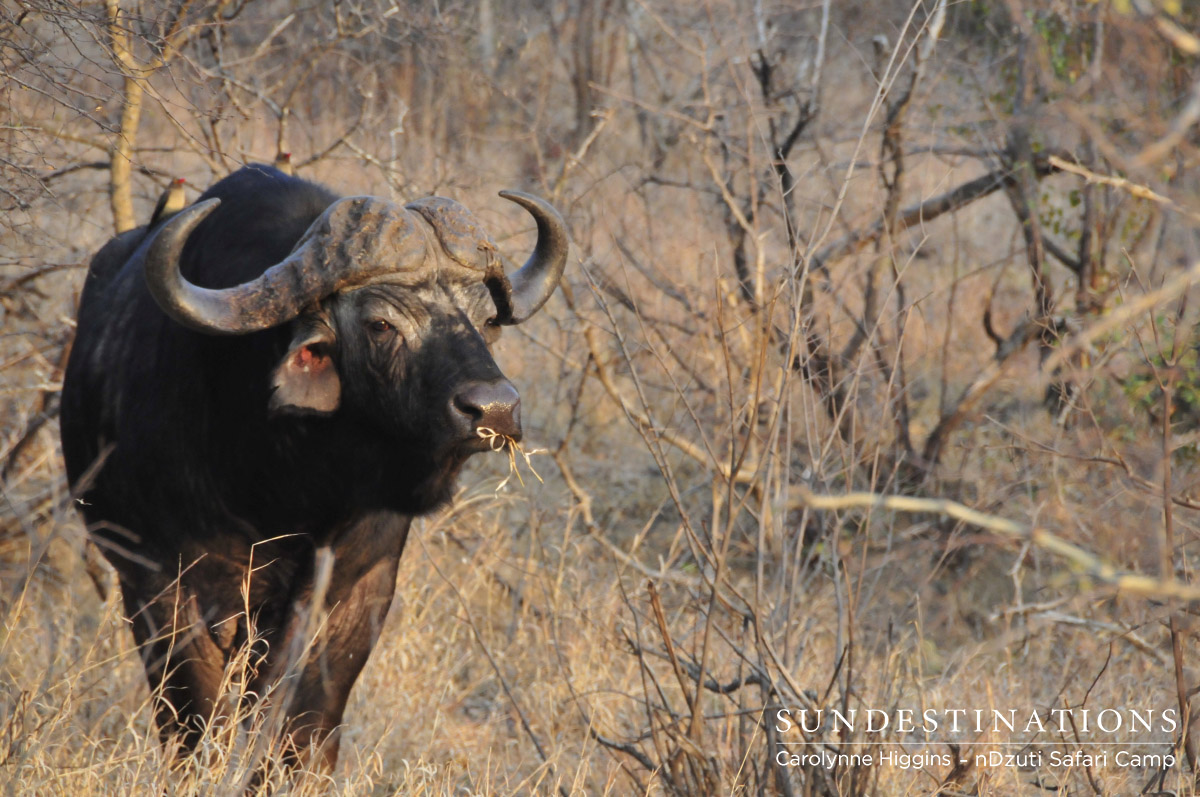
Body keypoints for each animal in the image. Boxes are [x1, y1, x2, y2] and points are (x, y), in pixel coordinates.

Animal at [60, 165, 568, 768]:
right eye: (380, 325)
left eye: (486, 318)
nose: (493, 409)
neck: (282, 485)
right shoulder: (159, 581)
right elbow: (196, 720)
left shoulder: (358, 591)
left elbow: (304, 721)